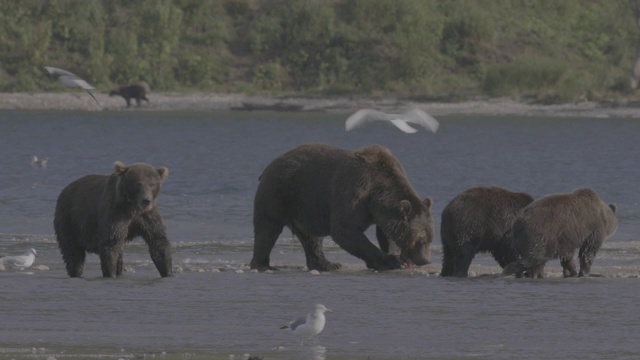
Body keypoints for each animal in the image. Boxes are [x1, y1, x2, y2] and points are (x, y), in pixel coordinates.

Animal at [250, 142, 436, 272]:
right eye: (420, 240)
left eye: (430, 238)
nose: (425, 260)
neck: (376, 193)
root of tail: (269, 165)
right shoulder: (354, 192)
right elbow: (344, 230)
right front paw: (390, 261)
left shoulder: (381, 211)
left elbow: (386, 233)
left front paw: (395, 255)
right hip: (278, 193)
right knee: (267, 228)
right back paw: (263, 264)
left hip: (307, 207)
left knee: (311, 238)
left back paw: (327, 264)